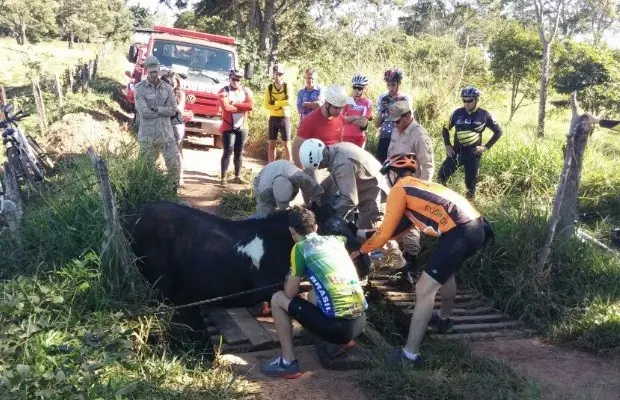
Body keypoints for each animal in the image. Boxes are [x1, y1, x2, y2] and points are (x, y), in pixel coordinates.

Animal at [126, 200, 368, 334]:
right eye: (333, 229)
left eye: (350, 225)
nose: (366, 265)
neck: (276, 242)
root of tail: (137, 216)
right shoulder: (267, 287)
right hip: (159, 284)